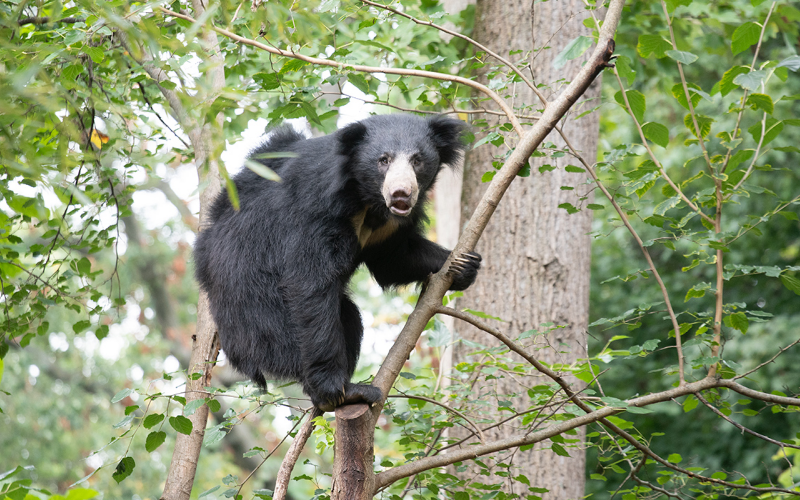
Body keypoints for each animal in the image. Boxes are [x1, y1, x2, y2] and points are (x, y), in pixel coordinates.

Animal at [194, 115, 482, 412]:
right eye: (383, 160)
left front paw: (463, 265)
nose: (401, 194)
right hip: (253, 298)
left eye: (417, 160)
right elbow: (309, 281)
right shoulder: (316, 212)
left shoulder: (386, 228)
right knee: (285, 334)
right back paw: (344, 392)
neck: (367, 199)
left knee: (349, 317)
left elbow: (393, 258)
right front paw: (331, 388)